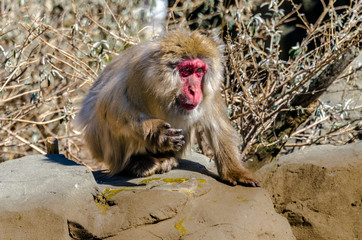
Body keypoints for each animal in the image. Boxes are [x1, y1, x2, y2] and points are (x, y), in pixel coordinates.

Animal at [78, 29, 260, 188]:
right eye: (186, 70)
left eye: (199, 71)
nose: (194, 90)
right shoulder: (137, 72)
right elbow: (108, 108)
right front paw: (156, 131)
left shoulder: (210, 89)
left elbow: (218, 126)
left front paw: (235, 171)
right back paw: (138, 162)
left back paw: (167, 159)